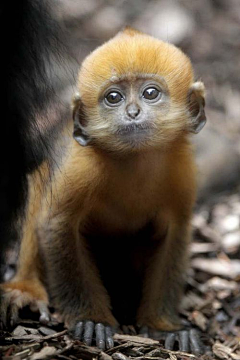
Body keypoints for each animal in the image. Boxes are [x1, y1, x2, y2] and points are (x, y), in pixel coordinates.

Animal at [0, 28, 206, 354]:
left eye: (150, 93)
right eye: (113, 97)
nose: (132, 112)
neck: (135, 161)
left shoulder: (181, 172)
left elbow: (173, 234)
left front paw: (164, 327)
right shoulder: (80, 167)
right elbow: (58, 224)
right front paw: (92, 320)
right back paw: (25, 289)